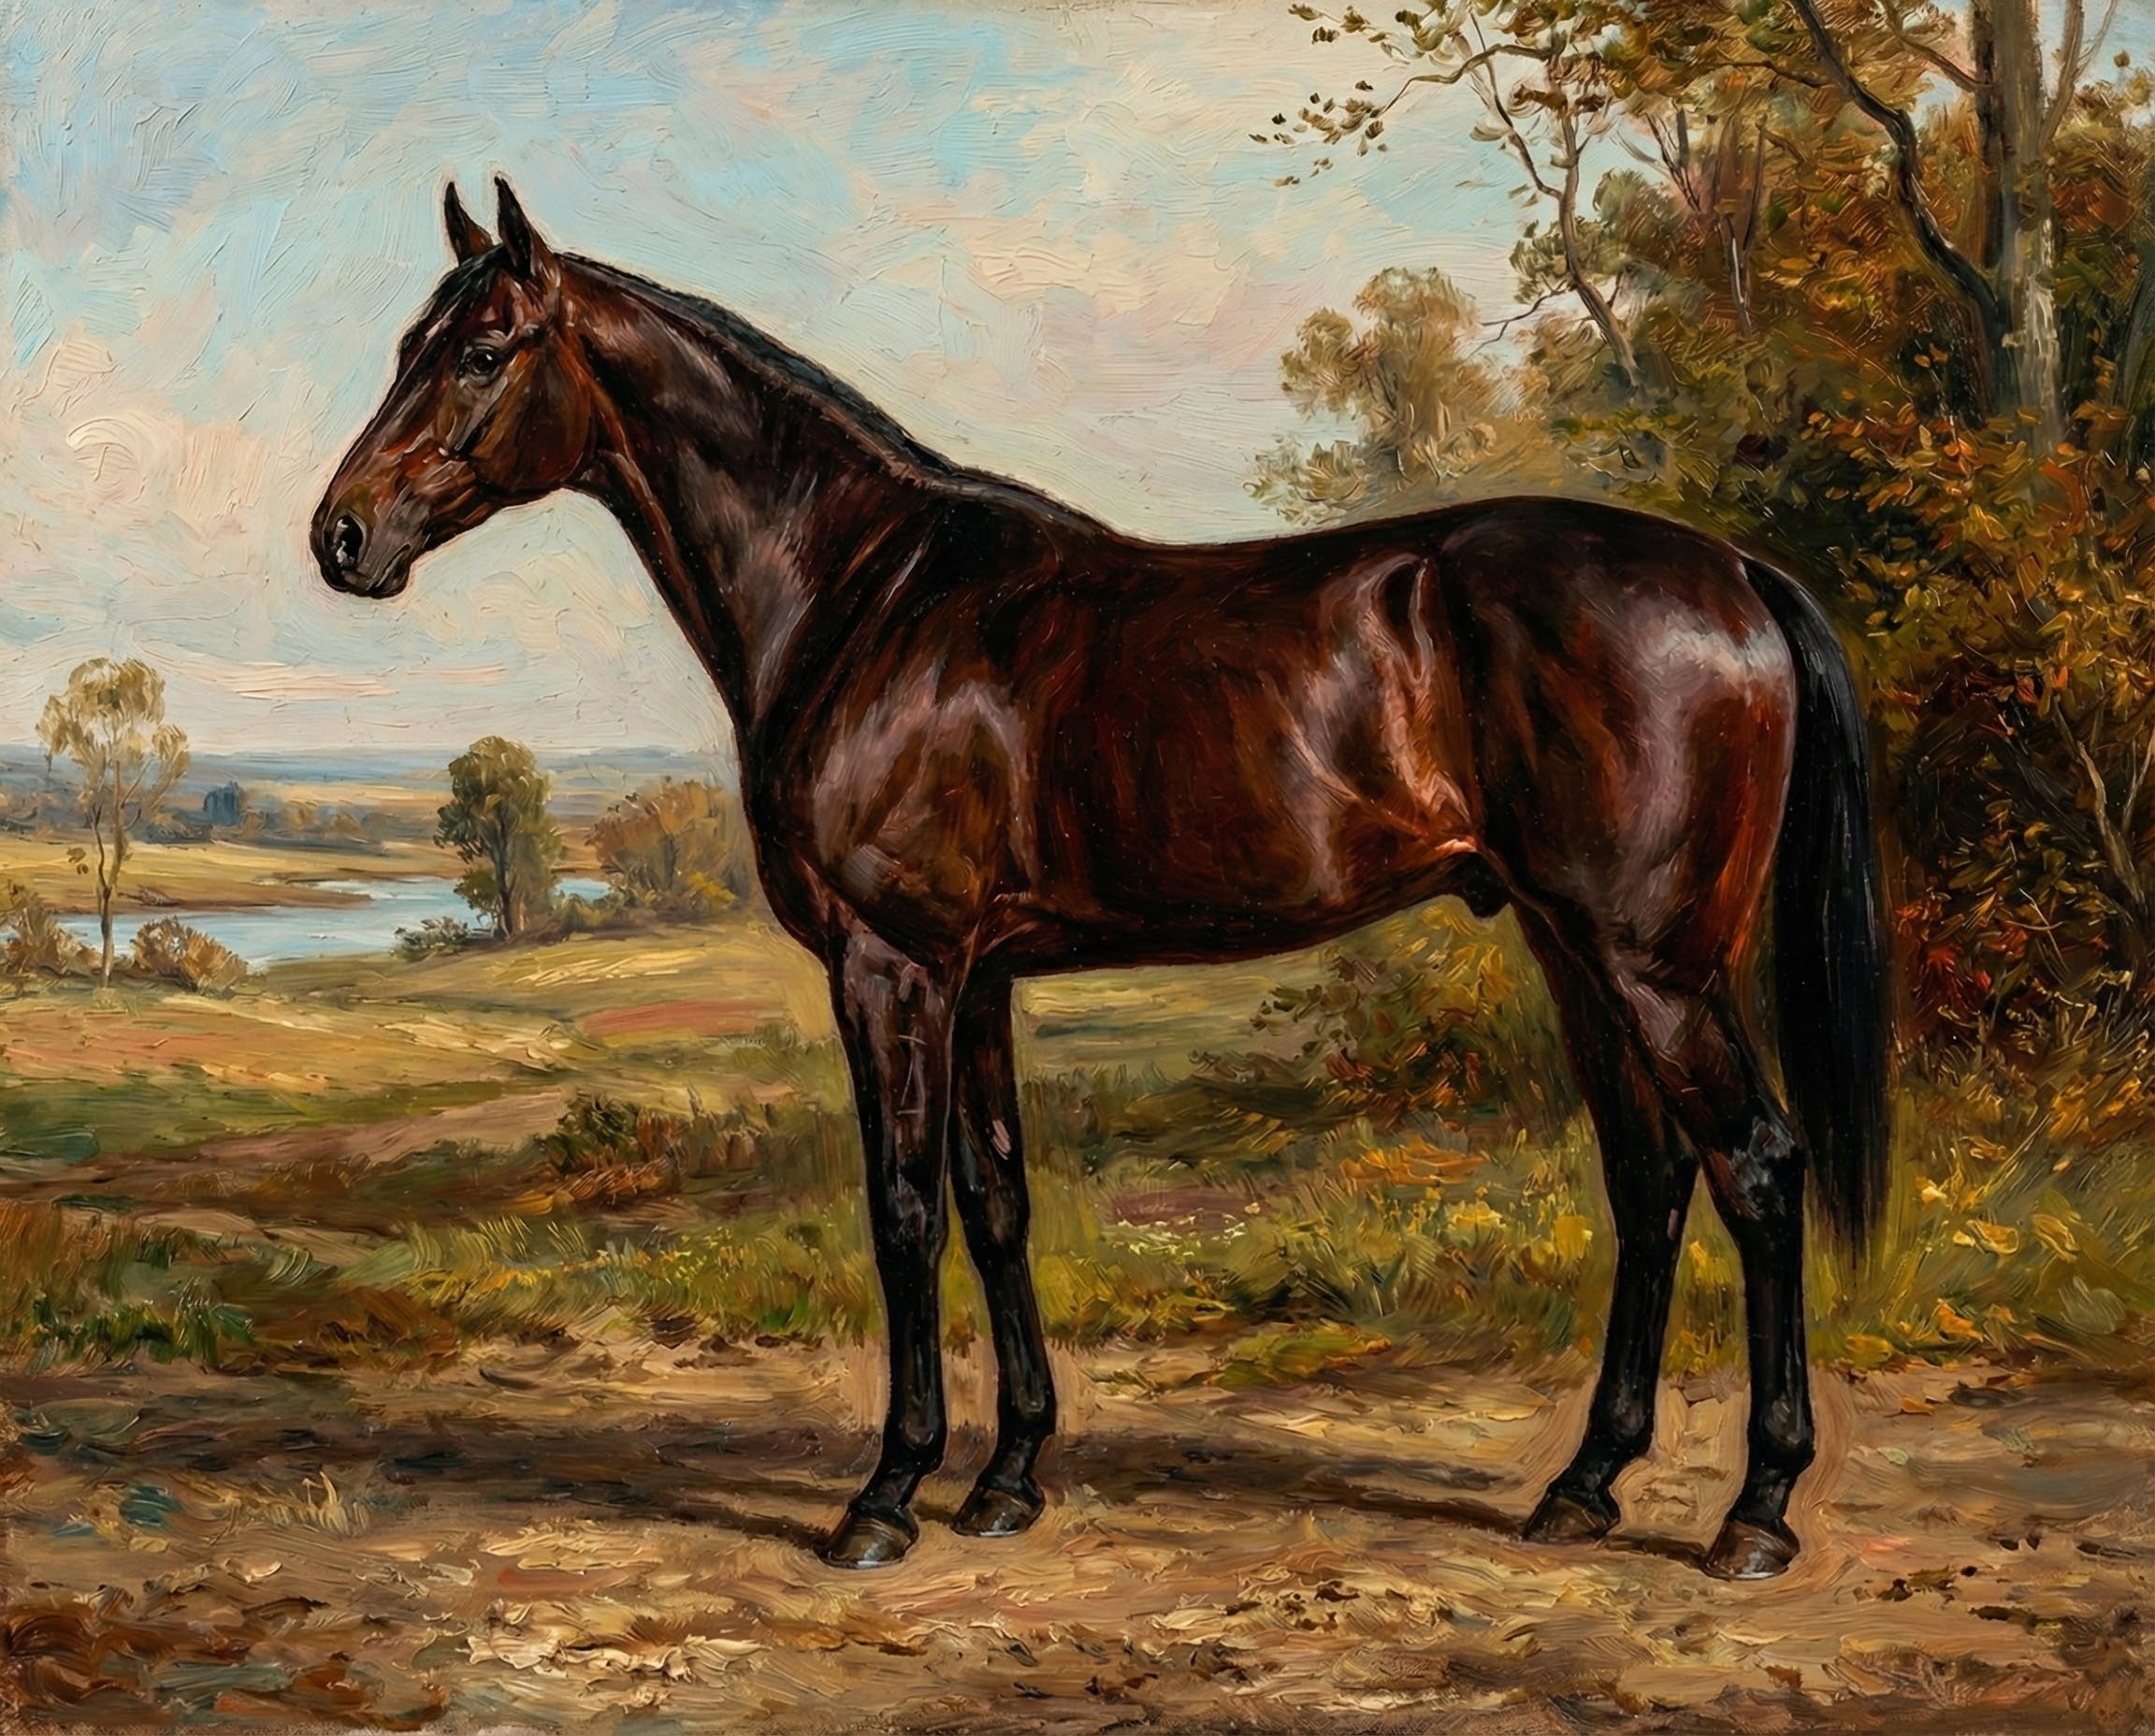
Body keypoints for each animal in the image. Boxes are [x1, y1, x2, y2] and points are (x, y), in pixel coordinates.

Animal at [313, 180, 1890, 1582]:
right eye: (401, 344)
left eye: (481, 348)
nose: (341, 537)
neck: (865, 597)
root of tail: (1739, 575)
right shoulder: (976, 976)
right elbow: (998, 1198)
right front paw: (1008, 1478)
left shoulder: (891, 967)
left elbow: (902, 1209)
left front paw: (887, 1494)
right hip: (1575, 952)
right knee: (1650, 1179)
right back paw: (1583, 1488)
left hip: (1652, 965)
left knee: (1756, 1169)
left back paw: (1758, 1515)